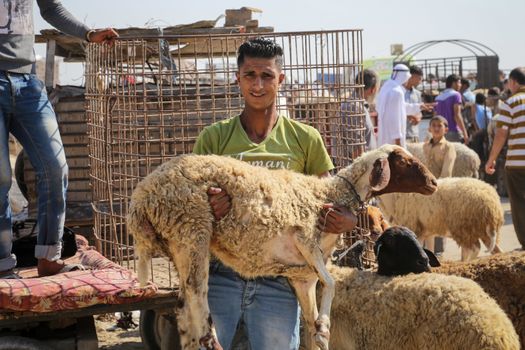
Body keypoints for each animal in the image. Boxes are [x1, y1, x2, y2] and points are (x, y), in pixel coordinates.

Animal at [125, 144, 436, 348]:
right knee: (196, 294)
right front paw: (326, 325)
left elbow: (312, 320)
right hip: (191, 229)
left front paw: (322, 330)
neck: (329, 195)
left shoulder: (303, 275)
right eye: (403, 161)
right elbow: (332, 283)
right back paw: (211, 340)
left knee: (181, 306)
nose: (433, 183)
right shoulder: (304, 239)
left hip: (177, 242)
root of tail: (140, 197)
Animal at [374, 178, 502, 260]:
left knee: (474, 248)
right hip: (482, 231)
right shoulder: (427, 232)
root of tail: (491, 203)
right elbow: (429, 249)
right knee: (496, 250)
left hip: (464, 227)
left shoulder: (416, 230)